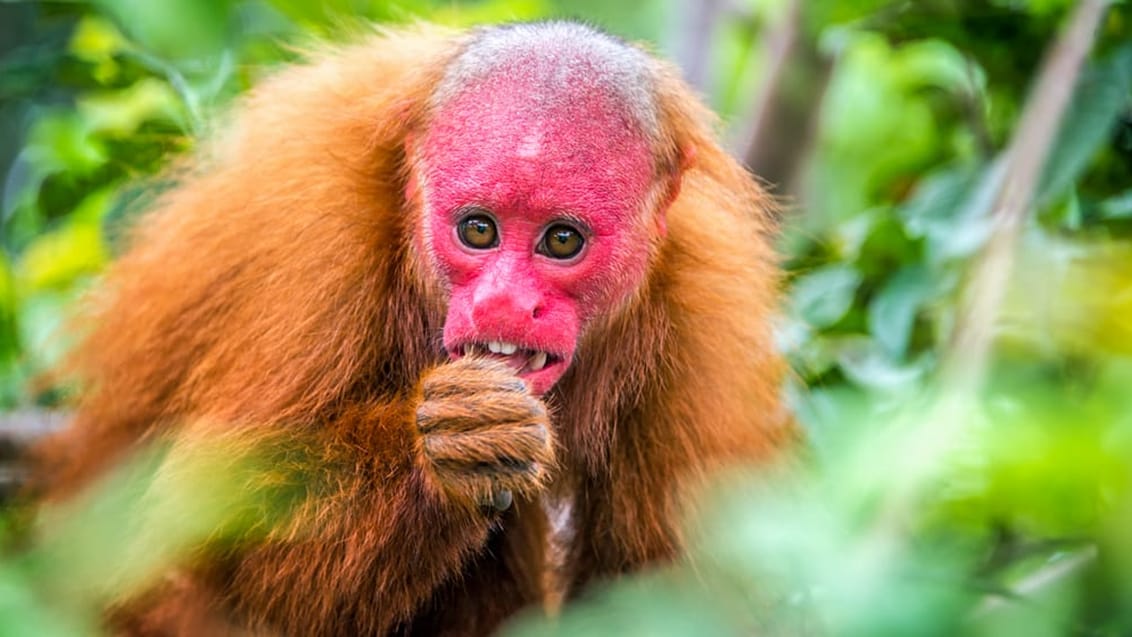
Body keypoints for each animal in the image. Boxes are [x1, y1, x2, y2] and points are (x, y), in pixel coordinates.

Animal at [28, 19, 787, 637]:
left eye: (562, 241)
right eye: (477, 229)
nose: (505, 303)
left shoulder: (701, 311)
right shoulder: (313, 242)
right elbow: (208, 536)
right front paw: (449, 449)